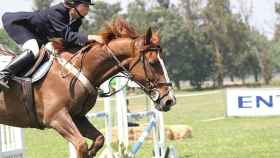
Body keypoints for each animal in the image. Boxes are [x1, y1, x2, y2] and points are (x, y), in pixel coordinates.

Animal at [0, 17, 175, 157]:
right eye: (153, 62)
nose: (169, 100)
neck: (77, 71)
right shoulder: (56, 118)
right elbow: (81, 145)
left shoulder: (77, 117)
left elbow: (99, 139)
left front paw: (92, 152)